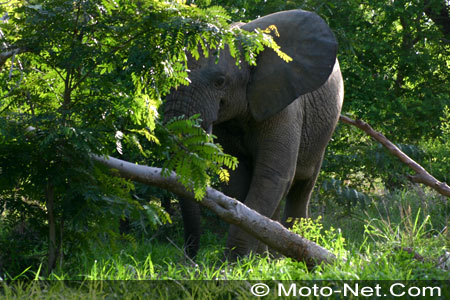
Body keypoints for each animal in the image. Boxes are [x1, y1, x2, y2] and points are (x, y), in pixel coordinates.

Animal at [163, 9, 342, 258]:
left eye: (220, 82)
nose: (190, 257)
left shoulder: (285, 107)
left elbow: (272, 175)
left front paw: (234, 262)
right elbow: (238, 180)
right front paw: (251, 261)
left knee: (301, 188)